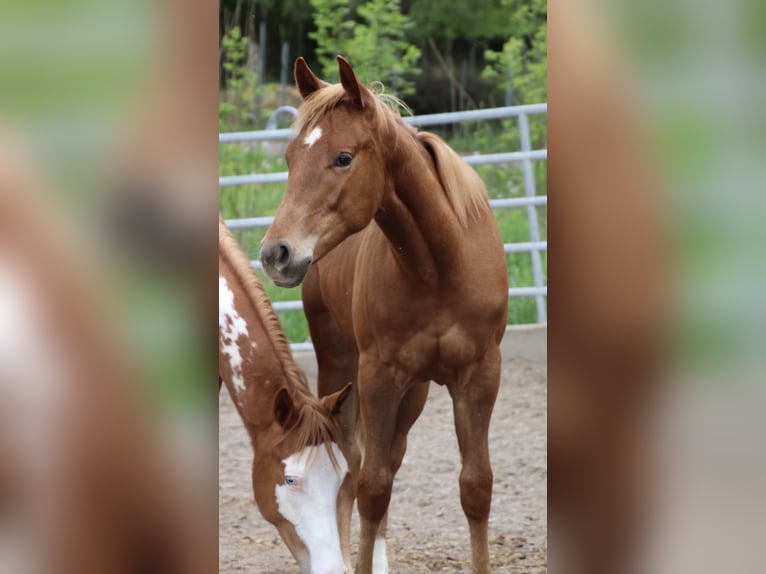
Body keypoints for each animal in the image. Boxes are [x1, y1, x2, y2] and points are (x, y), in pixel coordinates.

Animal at [260, 55, 510, 574]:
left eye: (343, 158)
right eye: (290, 159)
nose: (276, 253)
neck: (438, 268)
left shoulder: (480, 375)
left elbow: (475, 485)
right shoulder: (377, 375)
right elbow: (370, 485)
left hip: (414, 391)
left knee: (391, 460)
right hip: (340, 363)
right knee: (353, 467)